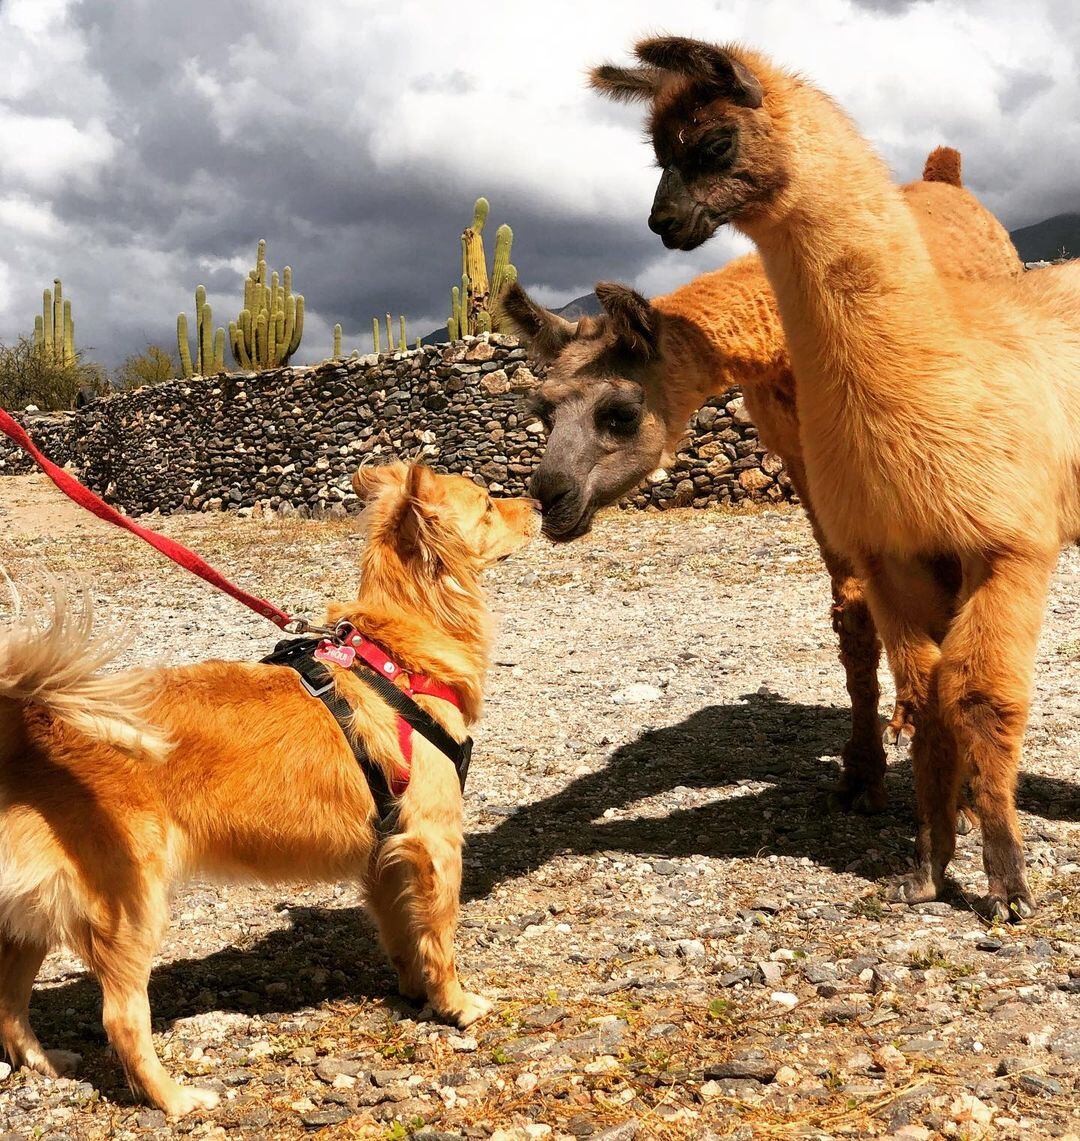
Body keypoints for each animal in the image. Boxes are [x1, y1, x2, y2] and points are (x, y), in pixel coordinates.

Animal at [0, 463, 538, 1113]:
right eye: (487, 504)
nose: (539, 501)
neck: (396, 658)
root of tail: (32, 731)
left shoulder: (386, 851)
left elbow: (402, 931)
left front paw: (416, 991)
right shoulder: (434, 842)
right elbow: (439, 933)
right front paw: (455, 1003)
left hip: (34, 915)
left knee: (7, 1000)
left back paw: (43, 1062)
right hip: (130, 906)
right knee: (121, 1019)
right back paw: (174, 1099)